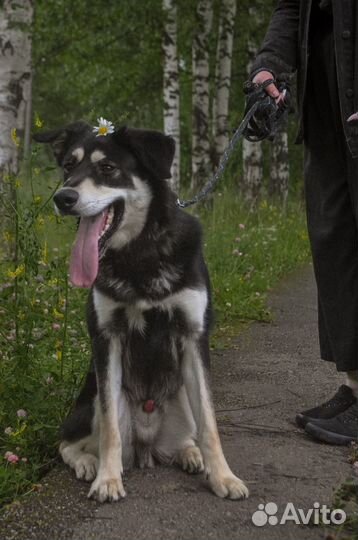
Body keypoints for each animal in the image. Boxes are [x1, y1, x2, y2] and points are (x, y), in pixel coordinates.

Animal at [35, 122, 249, 502]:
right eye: (68, 167)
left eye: (108, 168)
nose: (63, 198)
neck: (140, 253)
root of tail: (147, 448)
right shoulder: (106, 338)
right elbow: (109, 430)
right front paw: (107, 479)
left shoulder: (193, 334)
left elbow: (210, 423)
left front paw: (223, 477)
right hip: (91, 401)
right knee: (69, 441)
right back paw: (88, 463)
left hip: (182, 395)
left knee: (188, 434)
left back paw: (190, 453)